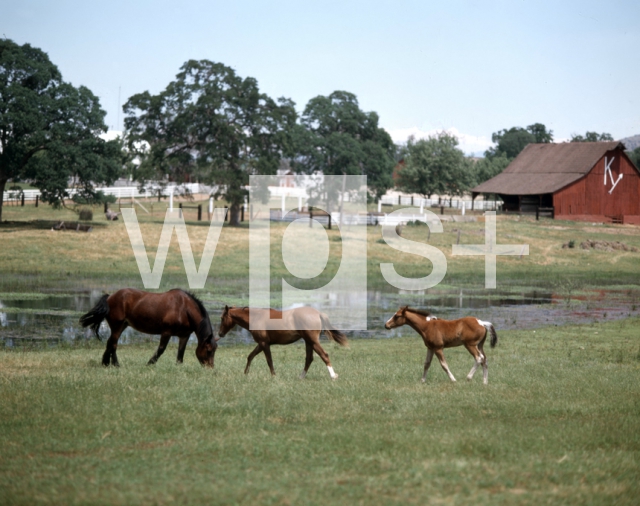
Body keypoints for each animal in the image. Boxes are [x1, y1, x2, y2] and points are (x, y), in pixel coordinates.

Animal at [78, 288, 216, 368]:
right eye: (209, 350)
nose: (210, 368)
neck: (184, 308)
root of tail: (110, 297)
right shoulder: (166, 332)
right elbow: (161, 349)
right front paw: (149, 363)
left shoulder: (184, 335)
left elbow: (180, 353)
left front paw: (178, 367)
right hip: (117, 326)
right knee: (113, 344)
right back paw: (115, 364)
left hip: (122, 326)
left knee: (110, 343)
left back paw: (106, 363)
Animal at [219, 304, 350, 380]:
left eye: (222, 318)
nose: (220, 334)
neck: (256, 318)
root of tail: (318, 313)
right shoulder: (261, 344)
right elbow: (250, 356)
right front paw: (245, 373)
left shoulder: (263, 343)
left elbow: (269, 360)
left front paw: (273, 376)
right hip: (308, 342)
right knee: (309, 358)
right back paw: (301, 377)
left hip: (312, 341)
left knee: (324, 355)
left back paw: (333, 376)